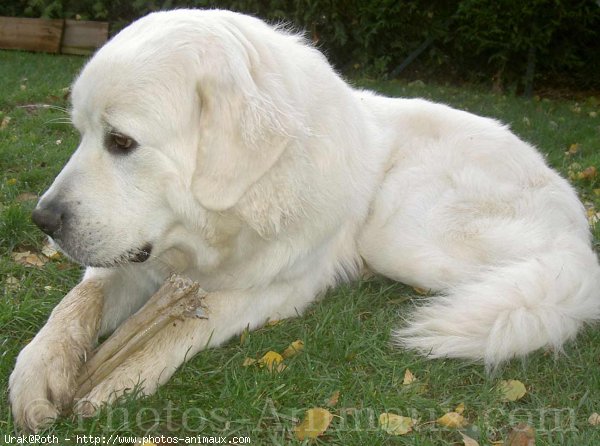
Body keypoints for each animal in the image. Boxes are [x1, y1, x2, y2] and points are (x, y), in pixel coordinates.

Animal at [9, 7, 600, 432]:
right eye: (81, 133)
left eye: (121, 142)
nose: (43, 220)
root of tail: (573, 214)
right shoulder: (134, 257)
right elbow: (76, 303)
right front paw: (38, 372)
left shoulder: (276, 288)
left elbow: (182, 328)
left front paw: (119, 379)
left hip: (401, 232)